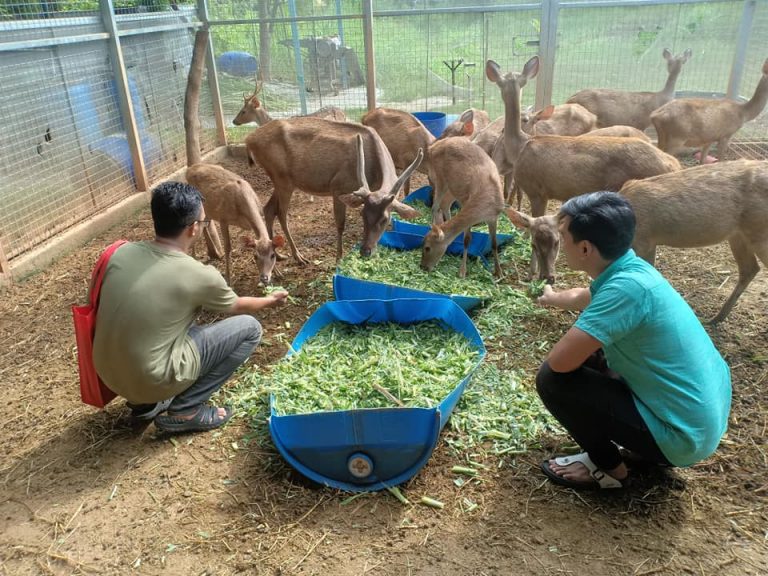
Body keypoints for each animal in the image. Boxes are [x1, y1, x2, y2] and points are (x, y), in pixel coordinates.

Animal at [420, 137, 504, 276]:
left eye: (427, 247)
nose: (423, 267)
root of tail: (432, 147)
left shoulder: (494, 217)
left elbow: (494, 243)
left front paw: (499, 273)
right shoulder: (465, 203)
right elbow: (467, 239)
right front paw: (462, 272)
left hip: (452, 187)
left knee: (444, 203)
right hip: (440, 178)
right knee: (435, 206)